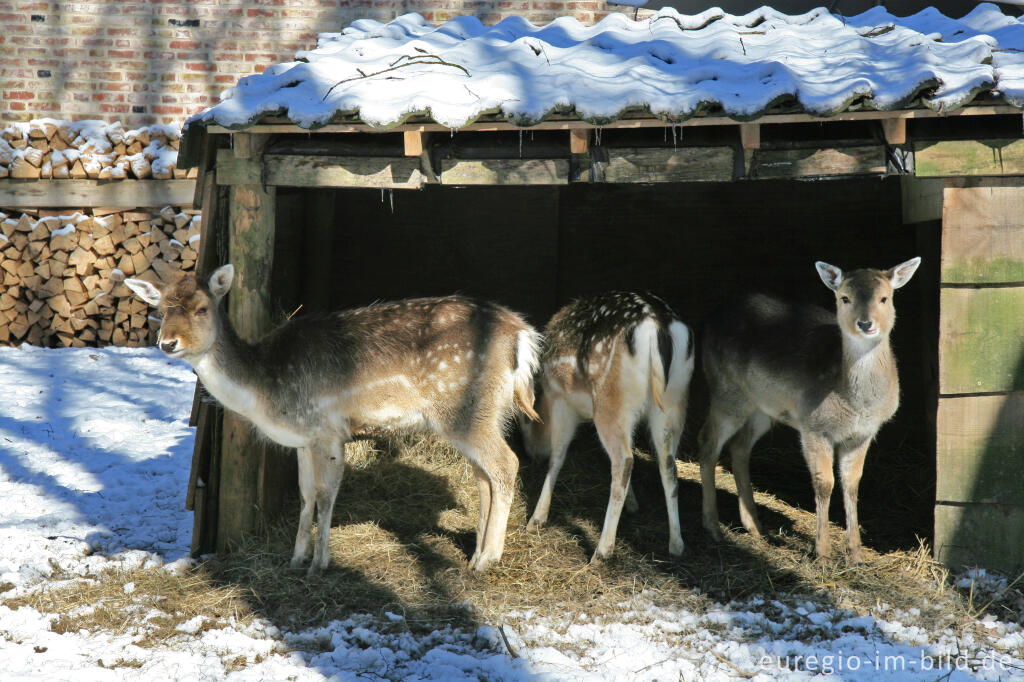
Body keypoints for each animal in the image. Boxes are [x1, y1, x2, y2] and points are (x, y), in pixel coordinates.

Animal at [125, 266, 544, 573]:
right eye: (161, 310)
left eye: (202, 308)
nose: (167, 343)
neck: (265, 389)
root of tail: (522, 333)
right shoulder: (304, 437)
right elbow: (306, 493)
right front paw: (295, 559)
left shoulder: (326, 430)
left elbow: (327, 495)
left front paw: (320, 564)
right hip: (488, 413)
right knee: (483, 476)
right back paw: (473, 555)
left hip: (464, 410)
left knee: (506, 464)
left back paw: (489, 559)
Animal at [520, 288, 696, 561]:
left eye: (523, 421)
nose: (529, 454)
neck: (546, 401)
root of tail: (658, 325)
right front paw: (633, 505)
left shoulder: (561, 400)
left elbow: (558, 456)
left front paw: (537, 518)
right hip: (674, 401)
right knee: (667, 464)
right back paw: (676, 545)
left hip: (611, 402)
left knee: (624, 460)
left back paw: (602, 552)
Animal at [700, 258, 925, 561]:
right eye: (844, 297)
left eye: (884, 298)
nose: (866, 323)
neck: (857, 404)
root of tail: (709, 320)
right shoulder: (813, 425)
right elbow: (824, 482)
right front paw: (823, 553)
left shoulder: (863, 433)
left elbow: (852, 482)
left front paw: (856, 554)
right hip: (726, 391)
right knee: (707, 442)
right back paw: (713, 527)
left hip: (763, 407)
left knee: (739, 446)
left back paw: (754, 525)